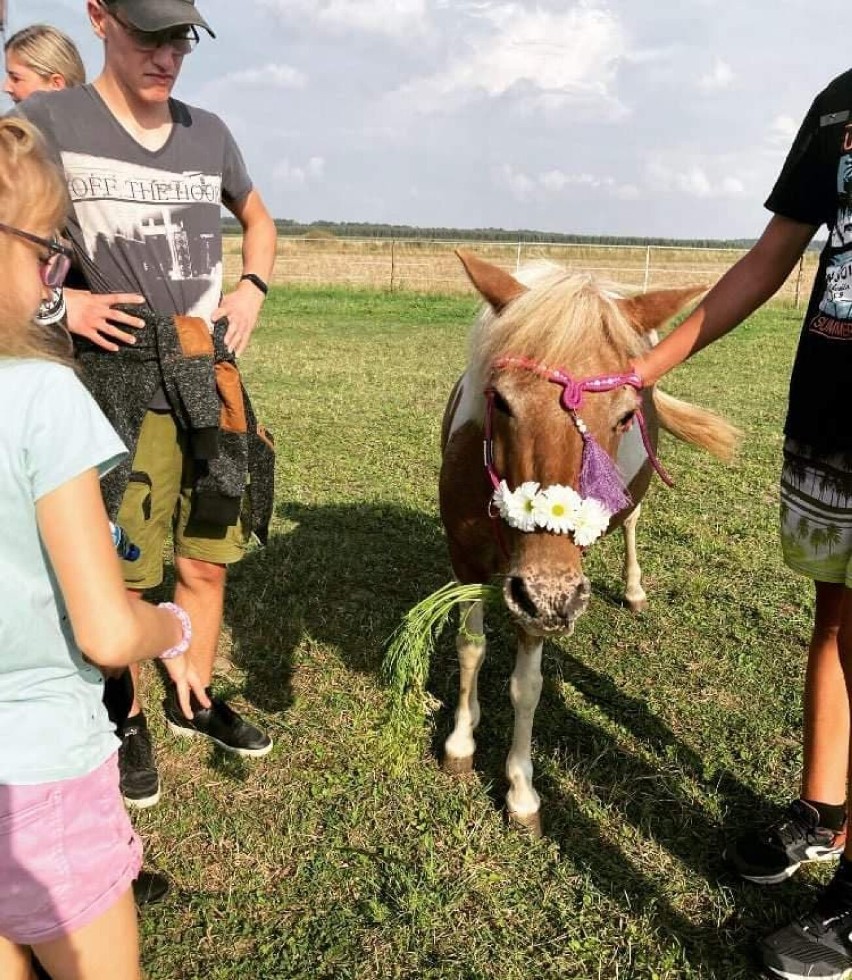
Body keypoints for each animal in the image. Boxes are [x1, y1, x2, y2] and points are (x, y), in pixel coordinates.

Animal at [440, 249, 740, 832]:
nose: (551, 595)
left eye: (625, 415)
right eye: (500, 401)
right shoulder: (468, 562)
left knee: (632, 523)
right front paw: (461, 744)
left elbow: (527, 686)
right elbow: (470, 649)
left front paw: (521, 791)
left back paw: (634, 589)